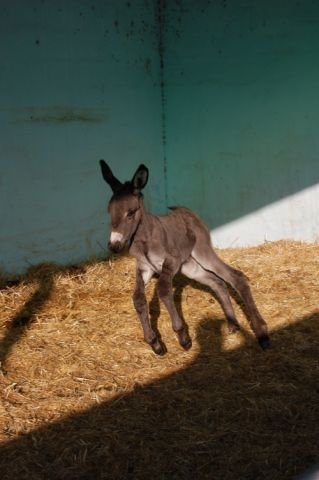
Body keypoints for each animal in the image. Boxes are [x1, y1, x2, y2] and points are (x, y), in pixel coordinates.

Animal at [100, 161, 270, 352]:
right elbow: (138, 299)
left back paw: (262, 333)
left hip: (202, 252)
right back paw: (233, 323)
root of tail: (187, 211)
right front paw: (154, 342)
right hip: (190, 266)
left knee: (235, 276)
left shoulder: (170, 262)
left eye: (130, 212)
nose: (114, 246)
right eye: (109, 211)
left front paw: (183, 337)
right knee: (217, 282)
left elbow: (163, 290)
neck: (143, 239)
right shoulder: (145, 268)